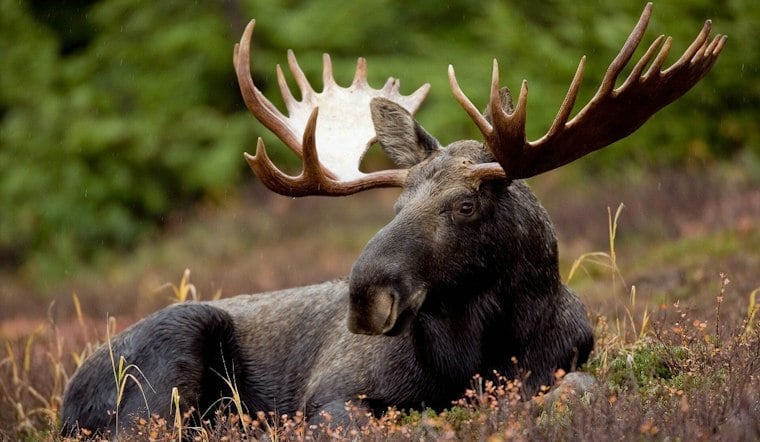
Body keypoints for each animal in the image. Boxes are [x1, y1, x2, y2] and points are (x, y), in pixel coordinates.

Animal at [60, 3, 725, 437]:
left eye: (465, 205)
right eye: (397, 206)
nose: (365, 297)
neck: (478, 352)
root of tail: (67, 396)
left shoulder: (563, 365)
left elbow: (581, 390)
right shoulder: (332, 395)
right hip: (163, 370)